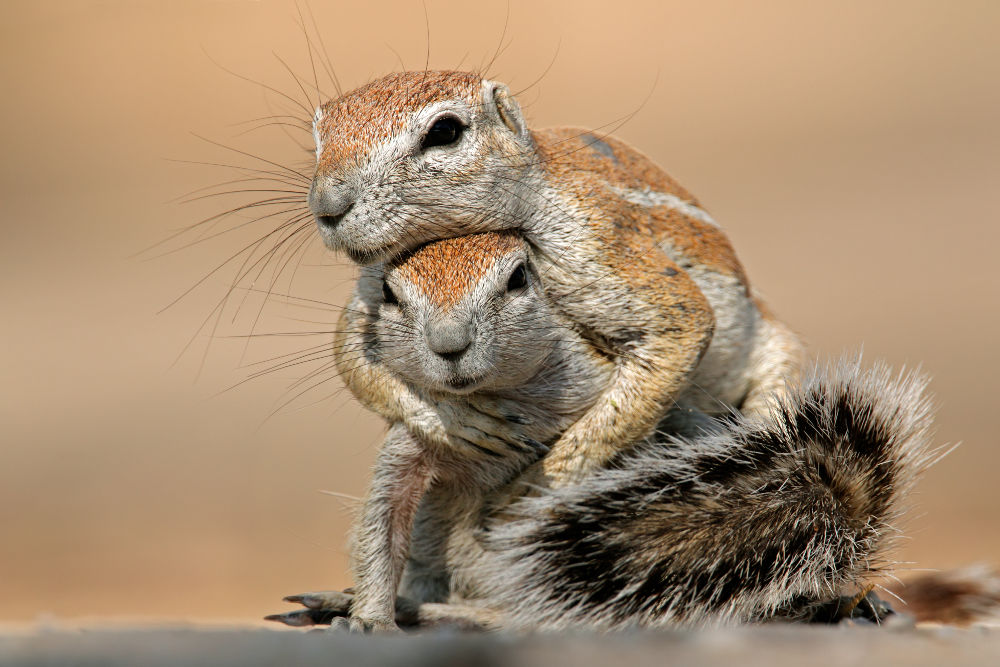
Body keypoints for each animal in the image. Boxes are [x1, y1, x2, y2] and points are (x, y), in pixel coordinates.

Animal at [268, 234, 936, 632]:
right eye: (387, 291)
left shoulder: (614, 397)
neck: (497, 397)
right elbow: (381, 529)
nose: (449, 345)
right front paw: (370, 616)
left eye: (518, 279)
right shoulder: (411, 445)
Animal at [304, 69, 804, 486]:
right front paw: (459, 420)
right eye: (317, 137)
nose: (327, 205)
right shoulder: (372, 280)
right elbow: (351, 353)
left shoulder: (593, 235)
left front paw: (538, 485)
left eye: (444, 132)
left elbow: (680, 323)